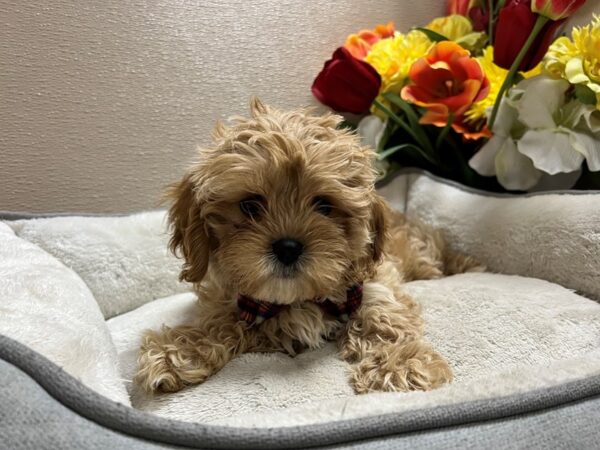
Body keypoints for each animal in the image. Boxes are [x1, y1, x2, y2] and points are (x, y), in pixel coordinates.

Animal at [136, 97, 482, 394]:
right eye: (249, 205)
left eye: (324, 205)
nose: (288, 247)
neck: (298, 299)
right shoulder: (235, 302)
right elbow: (221, 322)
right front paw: (179, 350)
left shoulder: (377, 280)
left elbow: (383, 315)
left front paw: (401, 364)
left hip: (423, 255)